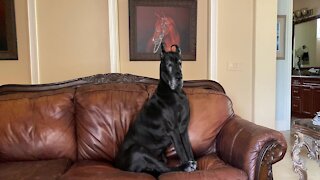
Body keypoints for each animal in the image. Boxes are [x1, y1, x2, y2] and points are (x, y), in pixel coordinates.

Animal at [115, 43, 195, 176]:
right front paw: (188, 164)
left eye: (180, 63)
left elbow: (188, 150)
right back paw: (185, 166)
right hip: (138, 150)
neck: (175, 92)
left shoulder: (183, 129)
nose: (179, 77)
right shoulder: (173, 131)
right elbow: (182, 151)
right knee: (165, 168)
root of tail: (117, 165)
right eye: (169, 64)